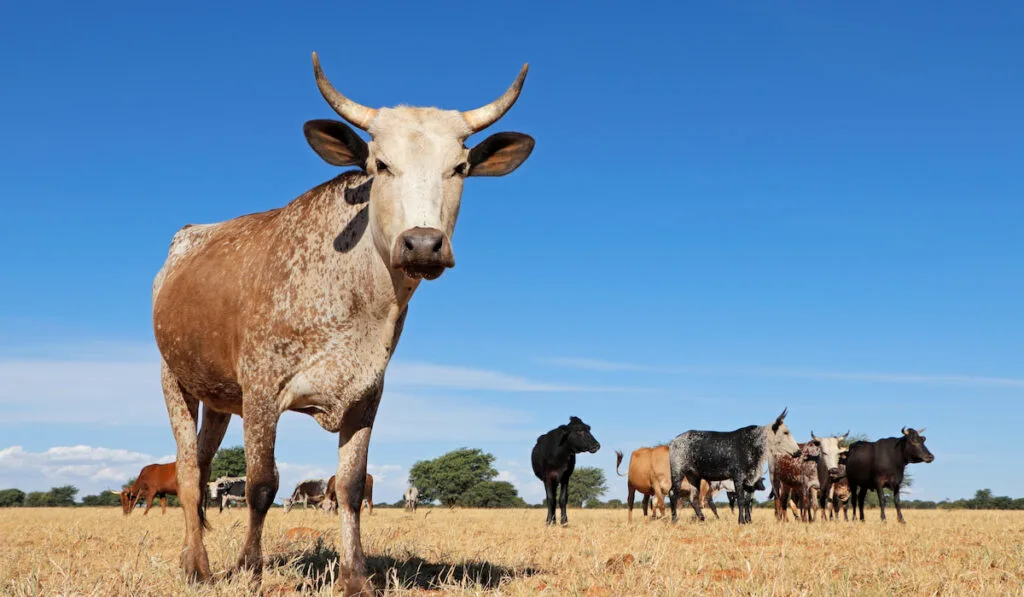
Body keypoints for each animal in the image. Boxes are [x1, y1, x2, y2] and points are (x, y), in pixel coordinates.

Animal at [667, 409, 802, 524]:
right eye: (785, 432)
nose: (799, 452)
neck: (754, 443)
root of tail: (673, 441)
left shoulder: (748, 481)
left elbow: (747, 502)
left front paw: (748, 520)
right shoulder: (738, 476)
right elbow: (741, 501)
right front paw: (741, 521)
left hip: (693, 476)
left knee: (693, 498)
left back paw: (702, 519)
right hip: (678, 471)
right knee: (673, 493)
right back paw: (674, 520)